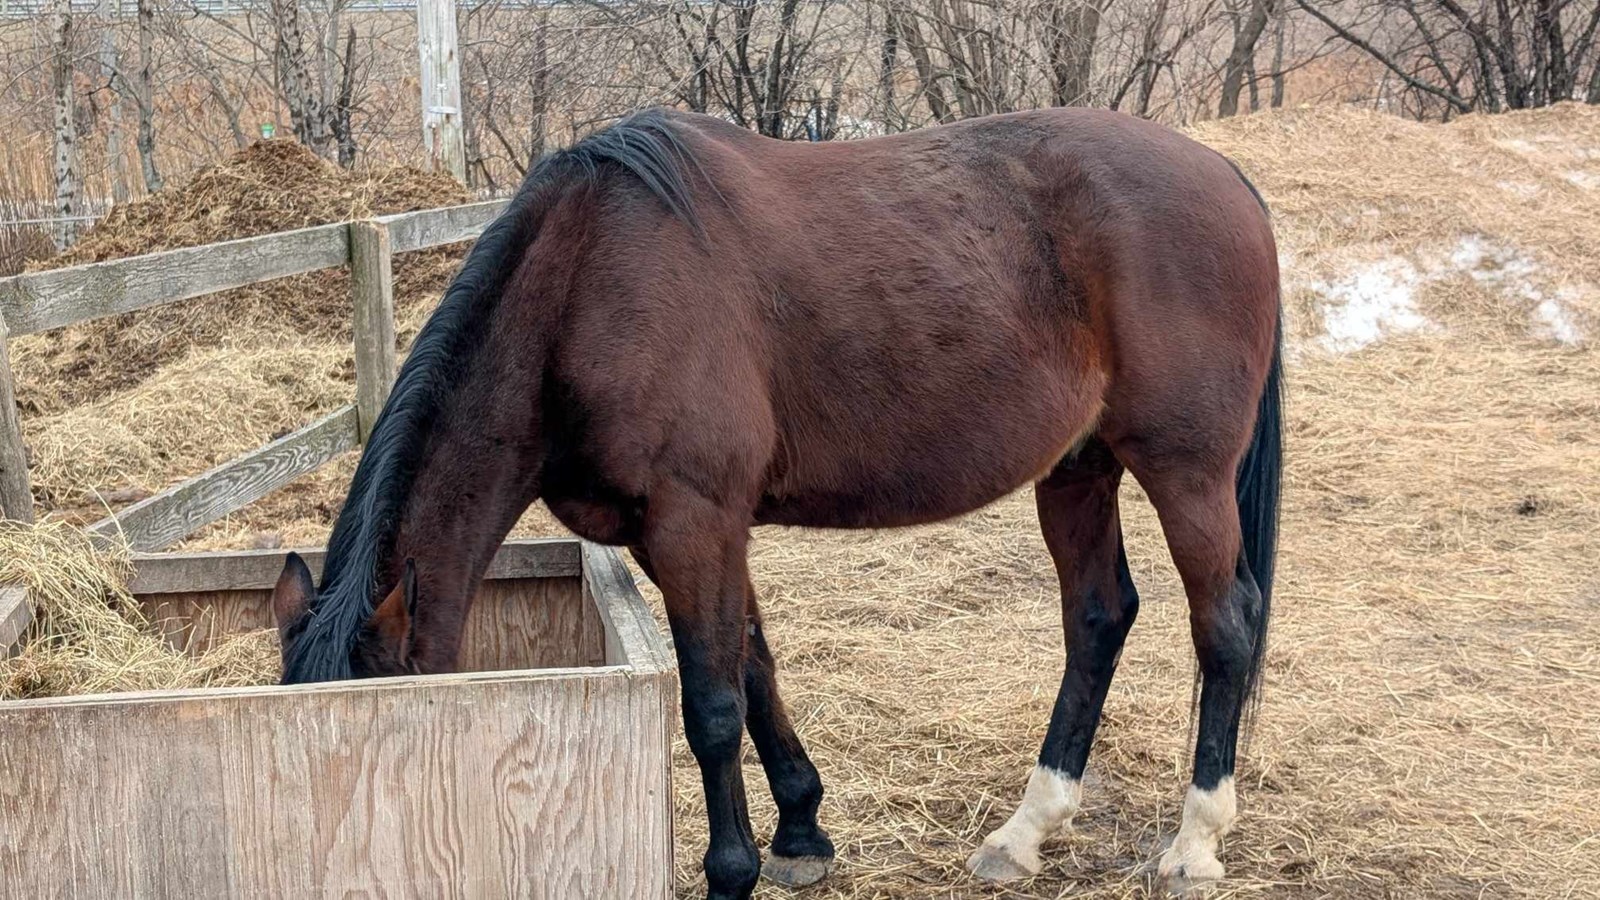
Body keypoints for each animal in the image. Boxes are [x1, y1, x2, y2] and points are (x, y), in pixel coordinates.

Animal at [269, 106, 1282, 899]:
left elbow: (713, 706)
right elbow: (755, 669)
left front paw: (732, 870)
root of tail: (1226, 176)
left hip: (1185, 471)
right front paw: (801, 831)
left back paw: (1195, 844)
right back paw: (1025, 832)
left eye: (380, 755)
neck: (584, 287)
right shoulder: (685, 535)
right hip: (1077, 469)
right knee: (1098, 617)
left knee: (1224, 623)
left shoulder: (694, 522)